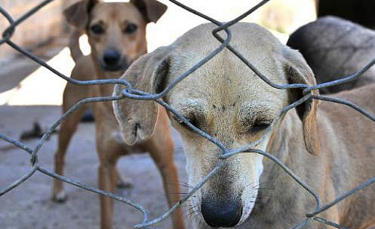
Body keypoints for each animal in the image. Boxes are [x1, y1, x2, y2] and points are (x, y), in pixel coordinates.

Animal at [53, 0, 186, 229]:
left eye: (131, 27)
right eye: (96, 28)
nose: (111, 57)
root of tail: (82, 58)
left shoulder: (167, 164)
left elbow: (177, 216)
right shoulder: (104, 168)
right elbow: (106, 216)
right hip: (70, 120)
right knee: (59, 154)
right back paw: (58, 191)